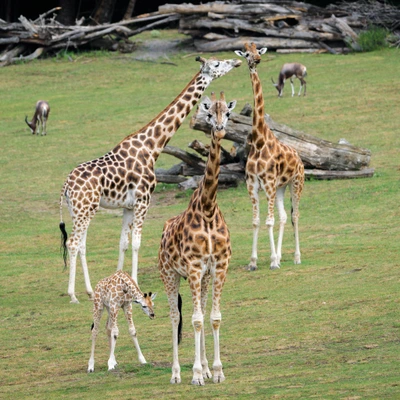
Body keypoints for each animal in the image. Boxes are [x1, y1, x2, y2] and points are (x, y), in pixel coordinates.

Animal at [59, 54, 241, 302]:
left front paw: (120, 279)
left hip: (81, 210)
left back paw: (87, 290)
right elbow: (137, 243)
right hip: (83, 209)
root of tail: (66, 186)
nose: (235, 62)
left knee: (81, 244)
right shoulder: (143, 199)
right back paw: (72, 295)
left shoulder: (128, 205)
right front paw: (134, 282)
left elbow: (123, 243)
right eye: (216, 65)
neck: (152, 147)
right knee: (73, 243)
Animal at [159, 92, 236, 386]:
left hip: (201, 278)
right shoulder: (192, 268)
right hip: (169, 274)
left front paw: (216, 371)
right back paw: (176, 373)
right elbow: (195, 320)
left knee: (200, 309)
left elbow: (213, 317)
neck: (208, 208)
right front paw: (195, 375)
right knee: (174, 316)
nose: (220, 128)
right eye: (208, 113)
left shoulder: (219, 266)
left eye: (228, 113)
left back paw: (204, 367)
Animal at [233, 42, 304, 270]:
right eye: (246, 53)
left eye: (258, 50)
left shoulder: (269, 183)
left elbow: (268, 221)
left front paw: (272, 261)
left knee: (295, 215)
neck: (258, 141)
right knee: (284, 216)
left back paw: (296, 257)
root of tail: (300, 159)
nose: (257, 59)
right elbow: (256, 221)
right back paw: (281, 256)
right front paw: (253, 261)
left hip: (295, 183)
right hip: (281, 188)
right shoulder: (253, 184)